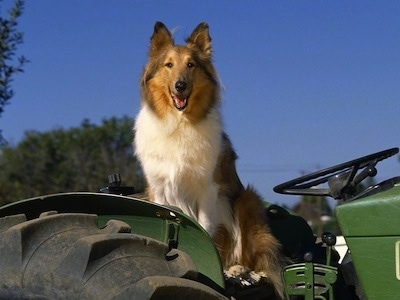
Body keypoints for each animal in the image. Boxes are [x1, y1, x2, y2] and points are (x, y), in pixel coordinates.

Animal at [136, 21, 286, 298]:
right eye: (168, 65)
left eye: (191, 64)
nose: (180, 86)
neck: (179, 124)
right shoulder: (158, 189)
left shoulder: (208, 188)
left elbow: (204, 230)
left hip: (247, 201)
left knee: (254, 259)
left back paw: (238, 271)